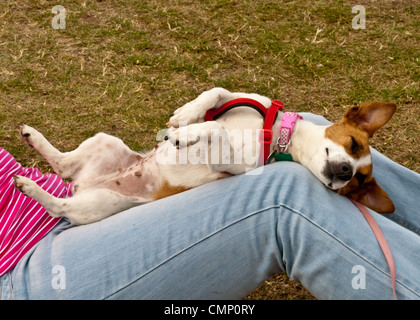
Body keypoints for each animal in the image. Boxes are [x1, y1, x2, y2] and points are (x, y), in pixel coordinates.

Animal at [11, 86, 396, 224]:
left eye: (358, 181)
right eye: (354, 144)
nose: (345, 173)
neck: (279, 137)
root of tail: (84, 184)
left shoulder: (232, 163)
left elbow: (216, 131)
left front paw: (187, 134)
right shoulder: (237, 99)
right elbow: (215, 93)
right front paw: (185, 116)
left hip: (98, 204)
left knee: (60, 204)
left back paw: (29, 187)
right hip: (106, 143)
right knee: (63, 163)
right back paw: (34, 138)